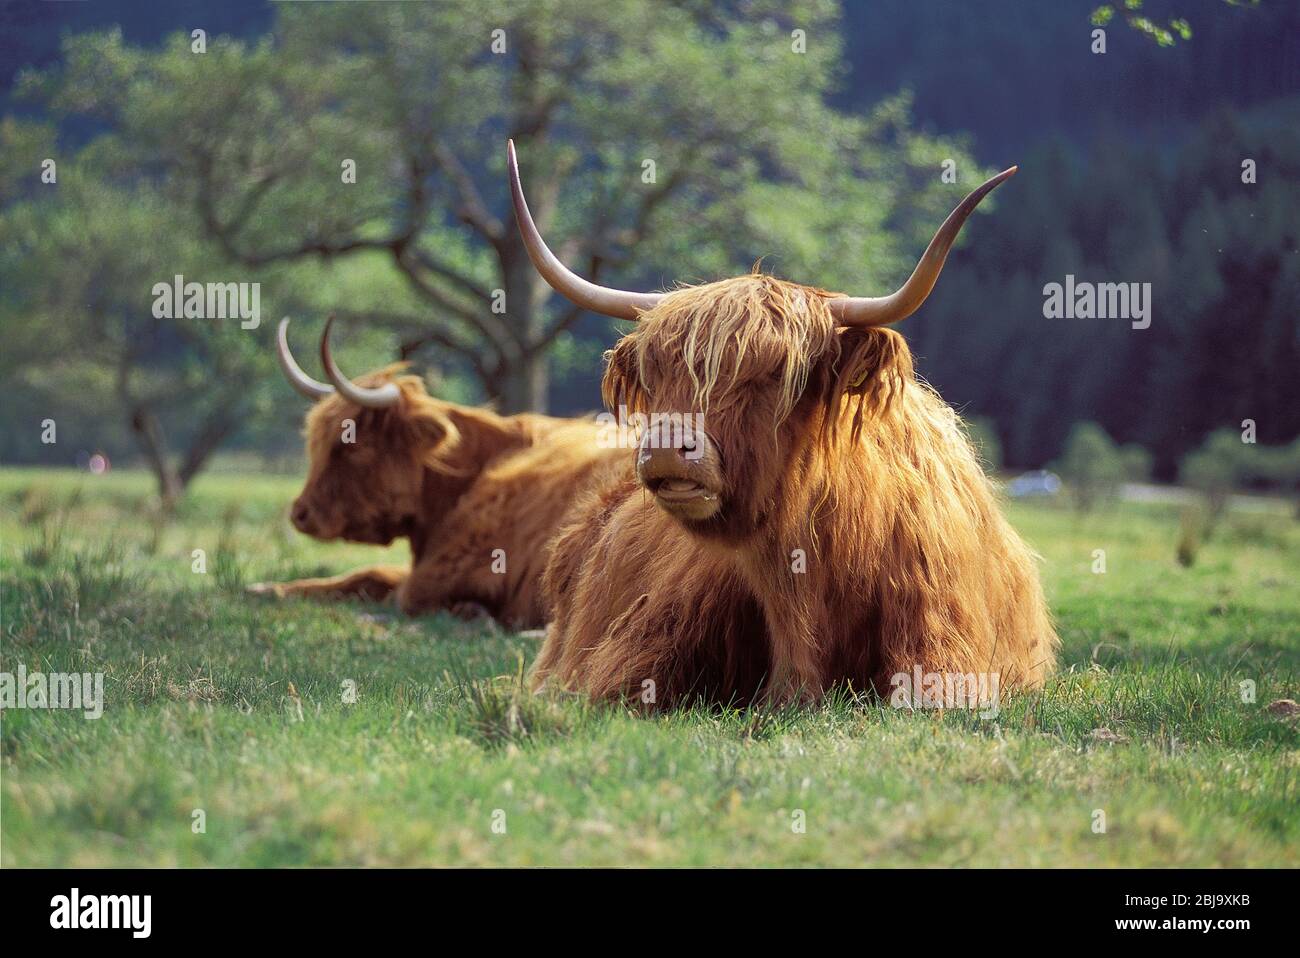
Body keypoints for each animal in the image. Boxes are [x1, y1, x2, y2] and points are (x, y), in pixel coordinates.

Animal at [253, 315, 624, 629]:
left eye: (353, 447)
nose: (300, 513)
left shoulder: (440, 574)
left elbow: (388, 585)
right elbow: (368, 574)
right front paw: (266, 587)